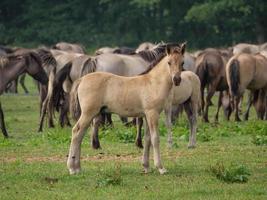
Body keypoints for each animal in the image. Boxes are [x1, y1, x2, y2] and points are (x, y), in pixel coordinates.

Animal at [67, 43, 186, 175]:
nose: (177, 79)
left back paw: (78, 167)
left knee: (80, 135)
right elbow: (155, 139)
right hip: (88, 113)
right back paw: (72, 168)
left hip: (90, 114)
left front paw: (146, 166)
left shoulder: (146, 115)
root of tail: (82, 79)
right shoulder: (152, 113)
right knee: (76, 132)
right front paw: (161, 167)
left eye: (182, 62)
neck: (153, 83)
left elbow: (147, 139)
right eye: (169, 62)